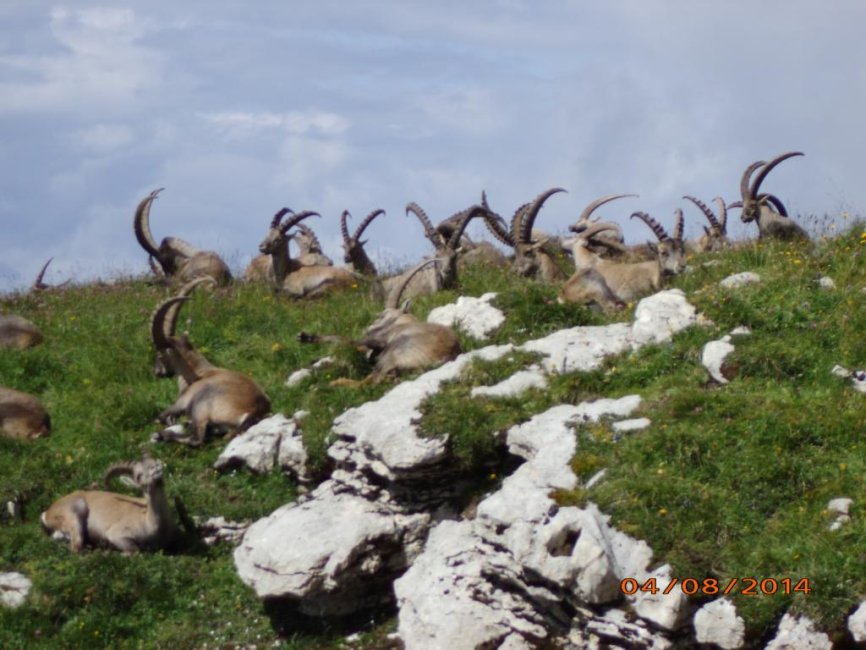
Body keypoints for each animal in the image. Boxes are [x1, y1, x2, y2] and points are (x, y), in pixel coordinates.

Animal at [40, 457, 178, 554]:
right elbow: (134, 550)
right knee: (76, 547)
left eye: (154, 465)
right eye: (138, 476)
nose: (156, 474)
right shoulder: (117, 535)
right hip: (76, 514)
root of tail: (47, 514)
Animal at [150, 295, 270, 446]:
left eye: (160, 355)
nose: (157, 373)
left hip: (200, 405)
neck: (200, 372)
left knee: (197, 439)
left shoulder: (181, 402)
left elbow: (161, 416)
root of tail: (255, 411)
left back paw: (162, 435)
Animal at [298, 258, 462, 386]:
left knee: (369, 382)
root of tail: (445, 357)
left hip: (394, 353)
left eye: (382, 315)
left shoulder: (379, 339)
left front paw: (306, 337)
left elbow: (348, 340)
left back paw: (332, 383)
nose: (369, 328)